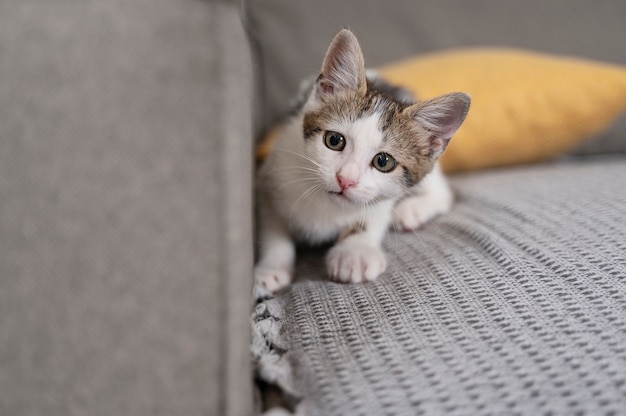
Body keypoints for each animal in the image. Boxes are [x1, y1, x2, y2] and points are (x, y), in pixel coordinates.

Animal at [254, 29, 468, 292]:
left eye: (383, 162)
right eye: (334, 140)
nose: (345, 180)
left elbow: (374, 214)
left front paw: (354, 253)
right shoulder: (271, 176)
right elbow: (273, 229)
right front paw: (271, 268)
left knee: (444, 192)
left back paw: (411, 210)